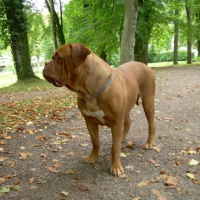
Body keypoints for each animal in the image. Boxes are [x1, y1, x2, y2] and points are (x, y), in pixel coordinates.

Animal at [43, 43, 156, 176]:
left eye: (58, 58)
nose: (45, 63)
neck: (88, 92)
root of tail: (145, 65)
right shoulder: (89, 121)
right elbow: (95, 141)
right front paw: (92, 157)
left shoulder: (116, 123)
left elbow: (115, 147)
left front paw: (116, 167)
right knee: (128, 121)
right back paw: (123, 138)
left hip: (148, 101)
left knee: (151, 124)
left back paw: (149, 143)